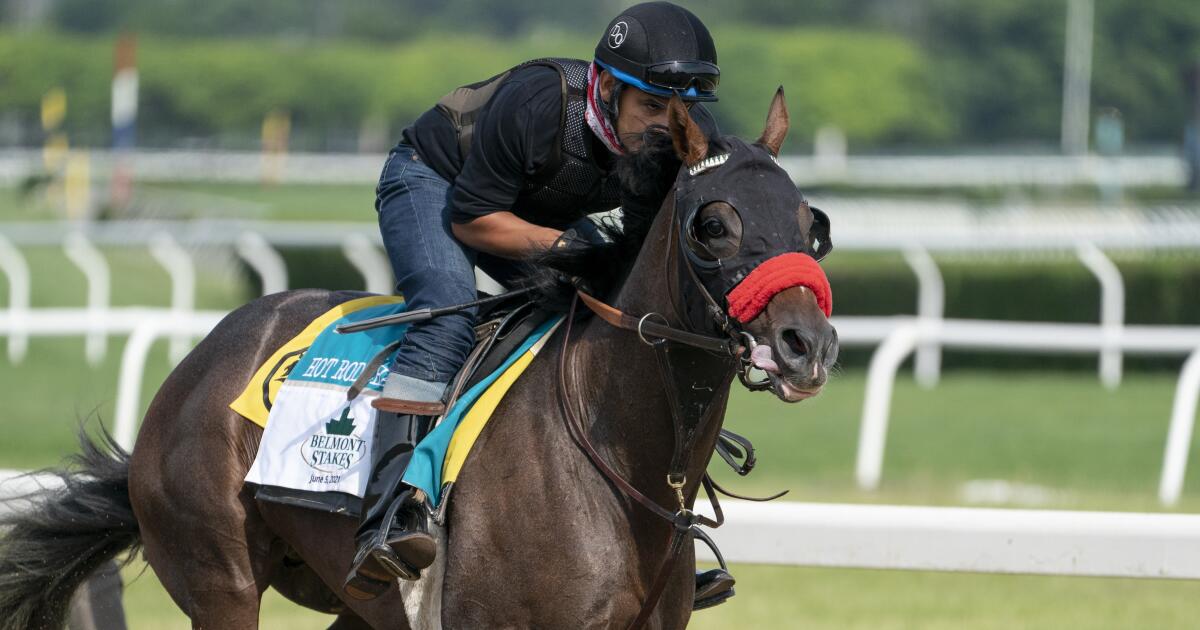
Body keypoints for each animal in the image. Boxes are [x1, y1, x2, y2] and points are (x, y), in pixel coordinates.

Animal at [0, 89, 837, 629]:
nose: (809, 345)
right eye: (715, 225)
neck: (617, 455)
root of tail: (199, 362)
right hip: (219, 578)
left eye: (813, 223)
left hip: (360, 600)